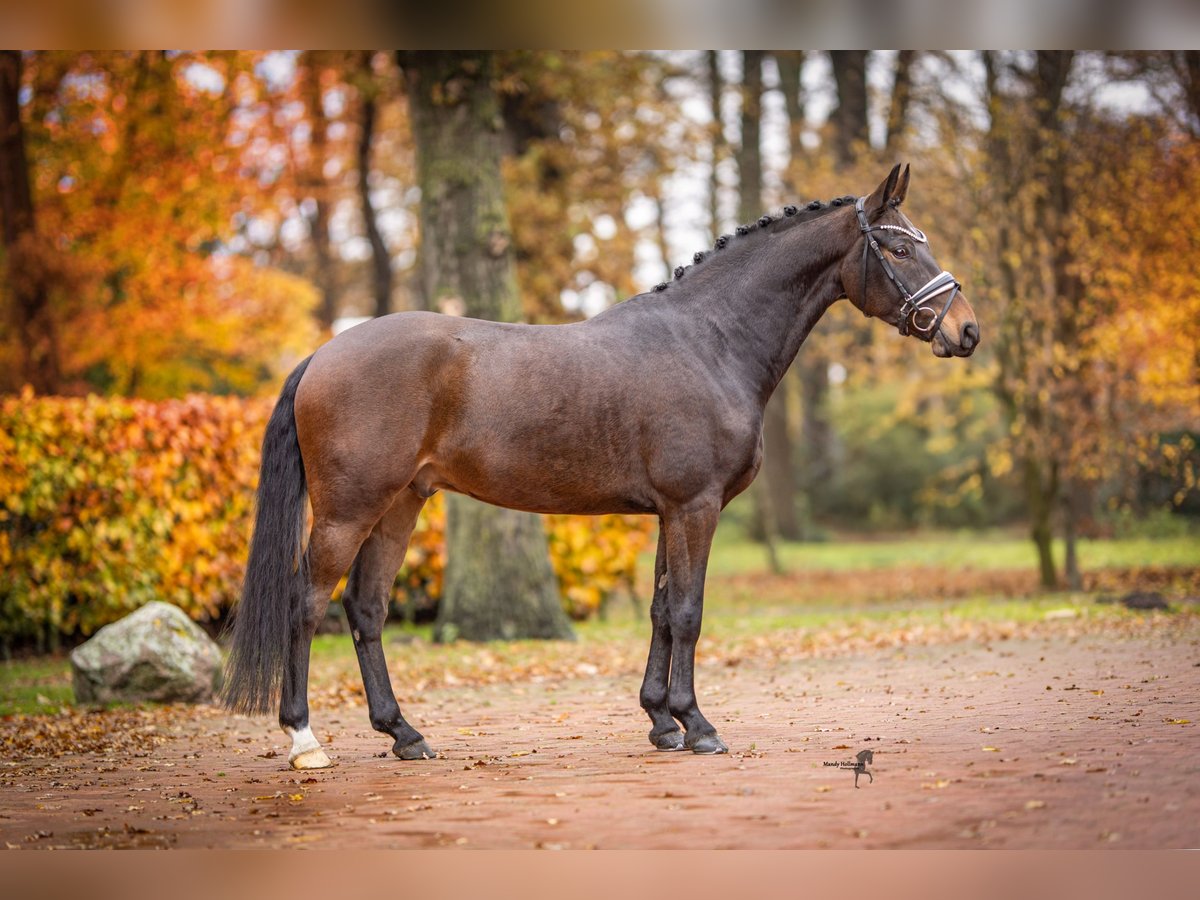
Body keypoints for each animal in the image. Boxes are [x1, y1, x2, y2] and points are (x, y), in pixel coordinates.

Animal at [223, 165, 974, 772]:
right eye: (900, 246)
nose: (965, 329)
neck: (709, 341)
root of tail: (323, 355)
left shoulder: (672, 511)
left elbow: (662, 610)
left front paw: (661, 721)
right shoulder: (695, 506)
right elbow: (690, 612)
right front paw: (697, 725)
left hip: (400, 505)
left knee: (367, 607)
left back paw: (404, 734)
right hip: (349, 509)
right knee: (306, 602)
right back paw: (305, 740)